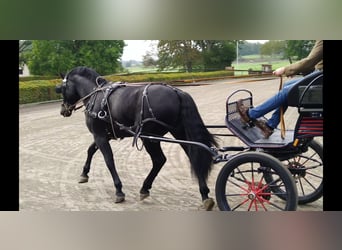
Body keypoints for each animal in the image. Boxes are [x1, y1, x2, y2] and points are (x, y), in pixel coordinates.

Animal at [54, 66, 218, 209]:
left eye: (61, 89)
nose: (63, 110)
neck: (96, 95)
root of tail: (176, 92)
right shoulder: (104, 135)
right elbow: (90, 150)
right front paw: (84, 174)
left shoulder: (99, 135)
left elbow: (108, 160)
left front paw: (119, 190)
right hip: (178, 132)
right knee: (193, 155)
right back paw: (204, 195)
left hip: (149, 137)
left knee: (159, 160)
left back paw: (145, 188)